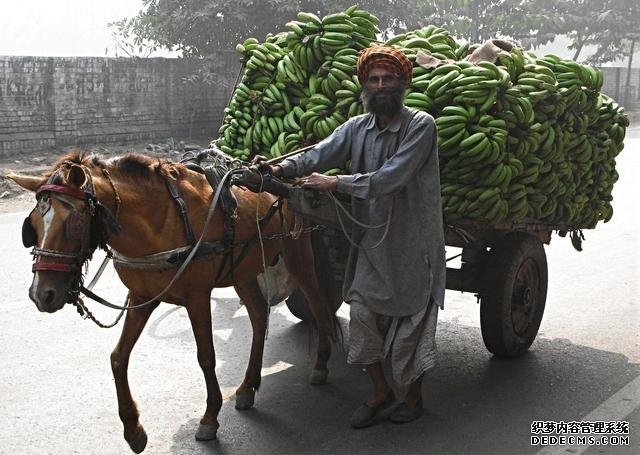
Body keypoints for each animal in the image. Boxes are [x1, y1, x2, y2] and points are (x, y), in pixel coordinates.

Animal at [8, 152, 336, 452]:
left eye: (73, 223)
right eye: (33, 225)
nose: (42, 294)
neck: (157, 219)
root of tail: (286, 177)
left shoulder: (197, 296)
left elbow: (206, 357)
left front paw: (209, 418)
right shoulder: (142, 297)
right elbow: (118, 358)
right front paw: (133, 430)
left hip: (297, 251)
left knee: (318, 305)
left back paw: (320, 365)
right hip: (242, 270)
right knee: (258, 315)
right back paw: (247, 386)